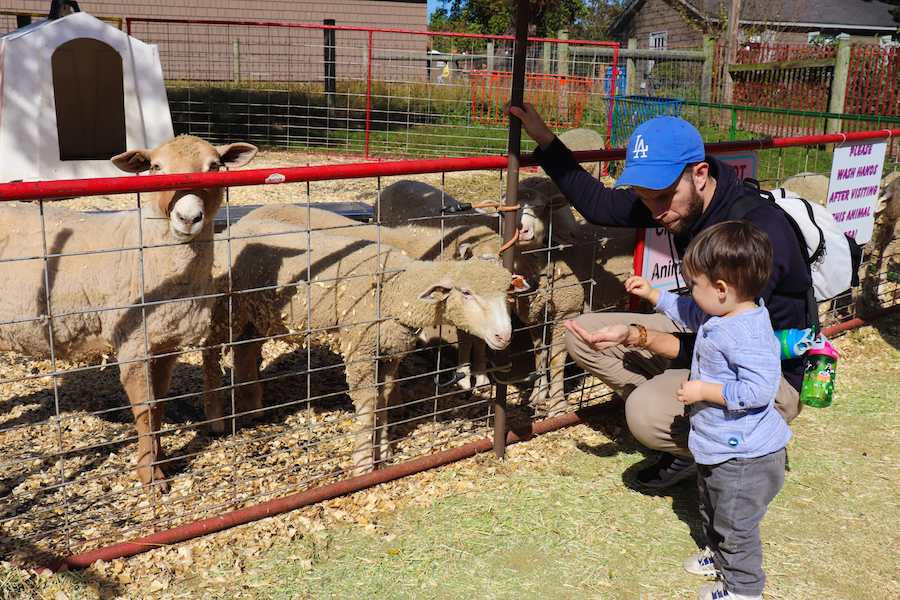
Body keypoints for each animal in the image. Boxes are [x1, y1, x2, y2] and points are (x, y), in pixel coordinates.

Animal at [0, 136, 260, 492]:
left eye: (214, 167)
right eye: (156, 167)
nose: (187, 218)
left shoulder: (165, 342)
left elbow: (159, 405)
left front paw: (161, 461)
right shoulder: (133, 344)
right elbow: (145, 409)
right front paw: (151, 476)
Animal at [201, 217, 516, 474]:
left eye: (506, 292)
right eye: (466, 292)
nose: (504, 336)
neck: (396, 290)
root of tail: (234, 228)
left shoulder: (389, 351)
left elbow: (383, 398)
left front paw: (384, 450)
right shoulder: (360, 351)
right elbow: (367, 404)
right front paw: (364, 463)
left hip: (255, 314)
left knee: (243, 352)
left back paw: (253, 407)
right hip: (222, 309)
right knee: (211, 356)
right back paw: (215, 417)